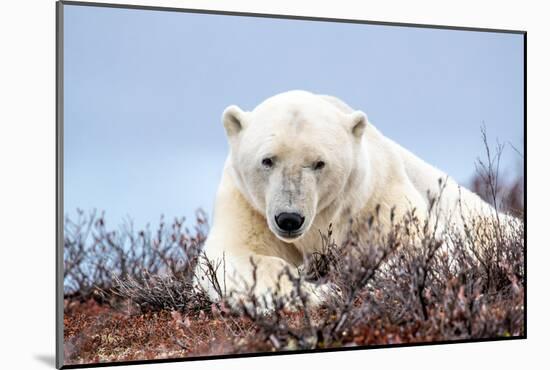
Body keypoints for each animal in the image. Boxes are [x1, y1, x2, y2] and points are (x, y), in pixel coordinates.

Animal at [195, 90, 504, 310]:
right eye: (267, 160)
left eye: (319, 163)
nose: (289, 219)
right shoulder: (247, 206)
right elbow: (233, 256)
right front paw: (312, 290)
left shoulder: (376, 199)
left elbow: (420, 249)